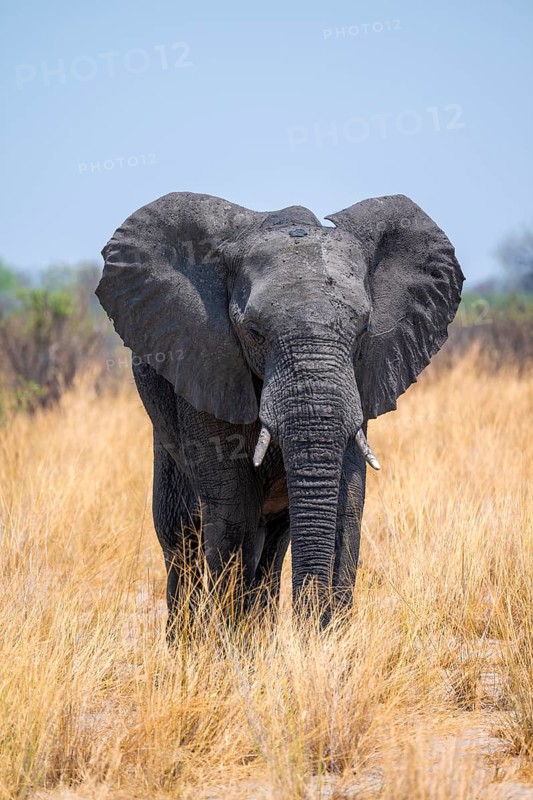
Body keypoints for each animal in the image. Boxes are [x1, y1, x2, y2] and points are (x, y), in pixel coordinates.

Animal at [96, 192, 464, 631]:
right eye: (253, 331)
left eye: (362, 330)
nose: (312, 627)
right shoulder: (206, 358)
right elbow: (233, 503)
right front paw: (228, 644)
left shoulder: (362, 378)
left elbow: (347, 499)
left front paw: (327, 642)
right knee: (183, 531)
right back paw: (190, 641)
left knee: (273, 539)